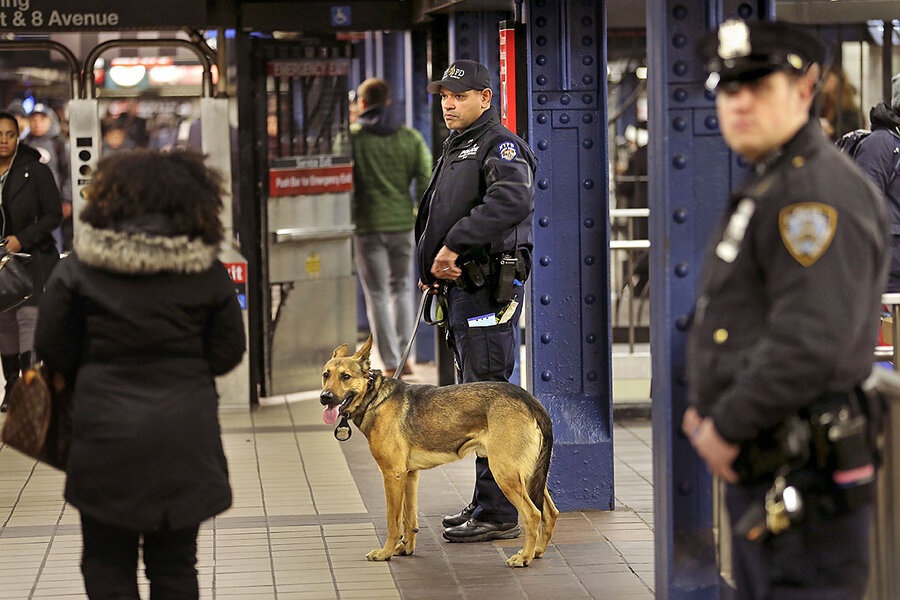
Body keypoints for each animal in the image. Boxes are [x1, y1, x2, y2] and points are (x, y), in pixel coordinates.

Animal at [316, 338, 556, 568]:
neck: (375, 398)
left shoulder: (392, 475)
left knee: (533, 515)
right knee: (550, 512)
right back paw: (537, 551)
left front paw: (385, 553)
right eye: (325, 375)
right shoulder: (409, 475)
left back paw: (524, 557)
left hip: (504, 473)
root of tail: (530, 400)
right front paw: (406, 548)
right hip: (528, 476)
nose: (324, 397)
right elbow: (409, 519)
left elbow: (393, 522)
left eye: (346, 376)